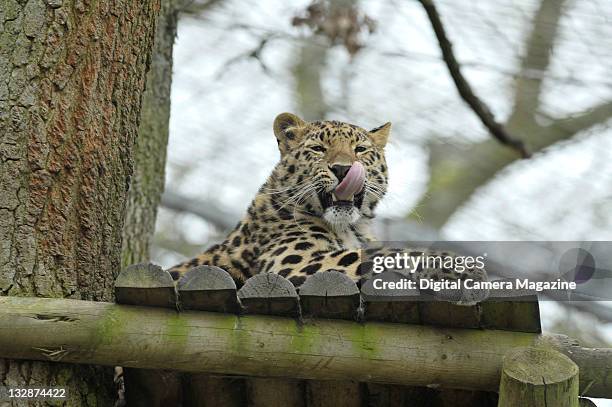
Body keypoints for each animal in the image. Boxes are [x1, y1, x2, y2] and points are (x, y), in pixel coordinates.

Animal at [167, 113, 488, 304]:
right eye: (318, 149)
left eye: (360, 150)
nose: (343, 169)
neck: (353, 227)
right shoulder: (292, 262)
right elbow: (379, 254)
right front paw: (456, 265)